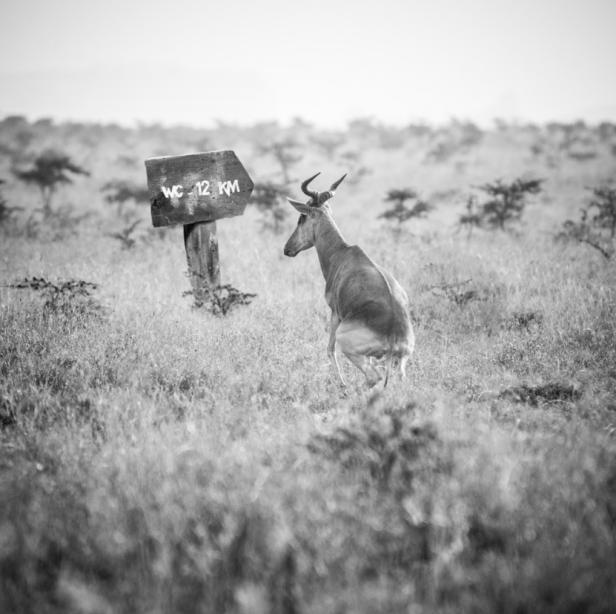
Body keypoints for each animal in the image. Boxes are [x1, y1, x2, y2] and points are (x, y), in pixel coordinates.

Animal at [284, 173, 414, 388]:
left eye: (302, 218)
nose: (287, 249)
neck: (342, 253)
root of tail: (394, 334)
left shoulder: (335, 313)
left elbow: (329, 350)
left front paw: (342, 383)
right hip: (400, 360)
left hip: (347, 340)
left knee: (374, 376)